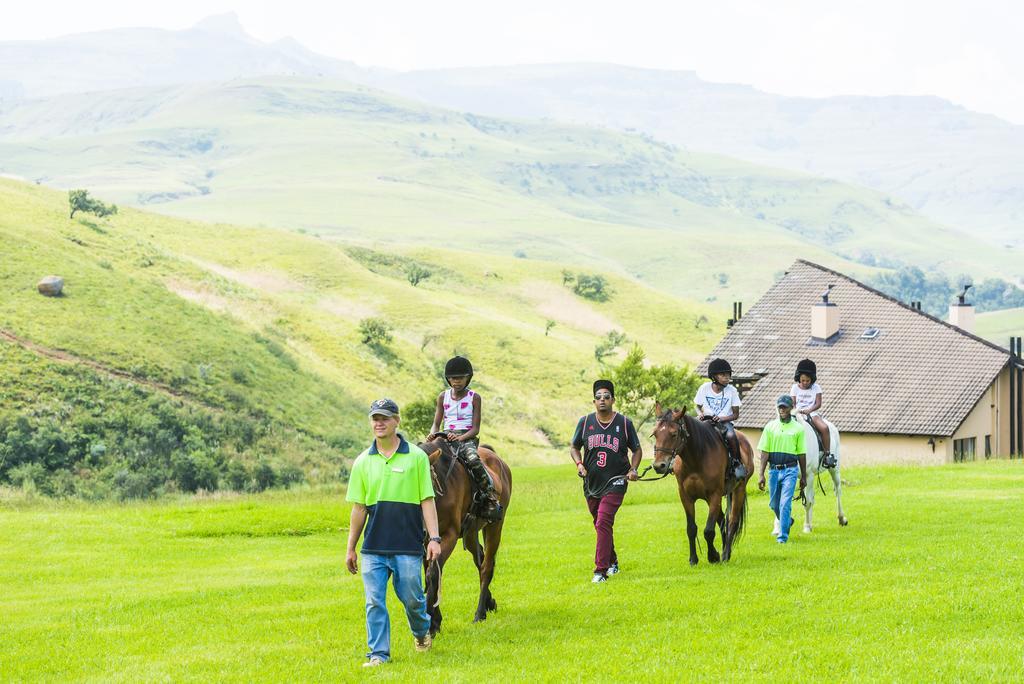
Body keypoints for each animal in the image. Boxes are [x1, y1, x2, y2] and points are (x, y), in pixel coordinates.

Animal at [415, 436, 512, 638]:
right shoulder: (427, 542)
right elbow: (430, 574)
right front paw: (435, 620)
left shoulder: (449, 535)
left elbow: (433, 574)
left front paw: (431, 625)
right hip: (471, 532)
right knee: (480, 559)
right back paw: (489, 603)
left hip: (495, 525)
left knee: (486, 567)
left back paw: (479, 613)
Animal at [655, 403, 753, 565]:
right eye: (655, 433)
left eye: (674, 434)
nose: (658, 466)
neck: (696, 458)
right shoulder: (686, 497)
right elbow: (691, 528)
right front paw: (693, 559)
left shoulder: (715, 495)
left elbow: (708, 531)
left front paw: (713, 556)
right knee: (722, 521)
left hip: (738, 490)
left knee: (732, 522)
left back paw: (726, 555)